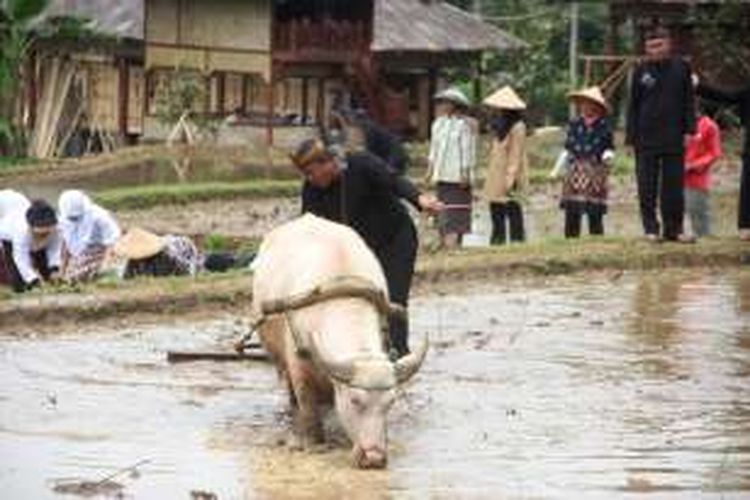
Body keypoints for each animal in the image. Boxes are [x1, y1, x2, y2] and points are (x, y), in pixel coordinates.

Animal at [253, 214, 428, 468]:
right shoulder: (299, 369)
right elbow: (308, 406)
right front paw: (314, 442)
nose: (374, 457)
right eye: (355, 400)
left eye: (390, 402)